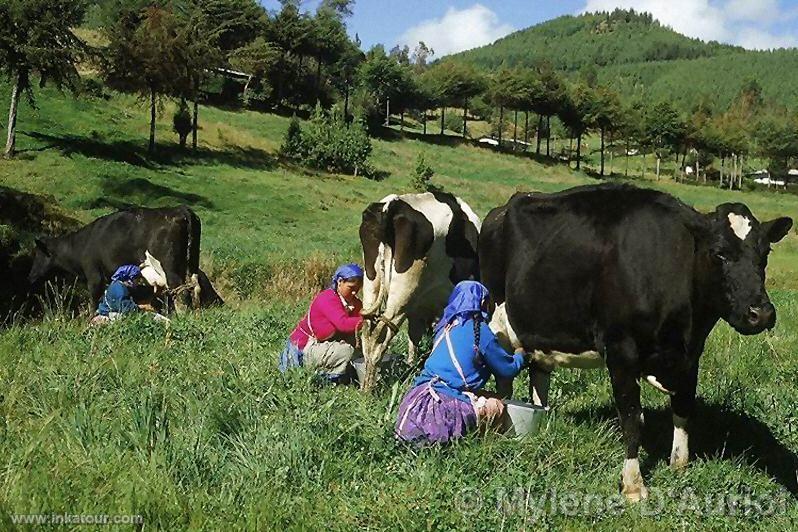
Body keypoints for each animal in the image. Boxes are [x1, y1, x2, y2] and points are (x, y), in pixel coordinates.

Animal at [29, 206, 223, 310]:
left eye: (37, 255)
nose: (30, 276)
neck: (81, 244)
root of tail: (181, 209)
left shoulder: (94, 274)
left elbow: (95, 299)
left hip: (170, 269)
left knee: (181, 292)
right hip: (191, 263)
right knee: (194, 287)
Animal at [360, 191, 482, 390]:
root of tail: (393, 204)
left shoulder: (418, 311)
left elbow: (414, 340)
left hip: (371, 281)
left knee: (366, 332)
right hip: (403, 291)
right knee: (380, 335)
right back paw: (368, 389)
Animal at [482, 185, 792, 500]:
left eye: (765, 252)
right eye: (719, 253)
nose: (761, 313)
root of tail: (506, 206)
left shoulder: (691, 355)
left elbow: (683, 408)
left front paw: (679, 466)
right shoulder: (621, 349)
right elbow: (632, 418)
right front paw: (633, 484)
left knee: (539, 374)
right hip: (496, 319)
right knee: (503, 375)